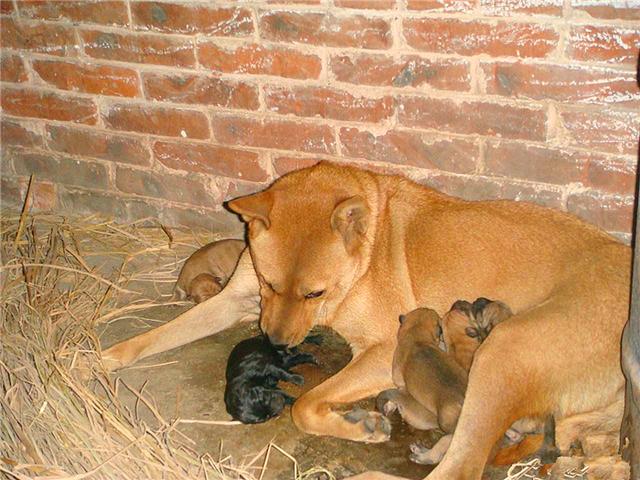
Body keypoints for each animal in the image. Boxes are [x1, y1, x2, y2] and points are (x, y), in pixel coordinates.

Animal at [101, 162, 632, 480]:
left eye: (315, 293)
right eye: (270, 284)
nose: (273, 342)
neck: (365, 249)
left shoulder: (381, 351)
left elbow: (304, 405)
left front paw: (359, 427)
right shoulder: (237, 300)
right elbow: (156, 336)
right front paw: (100, 358)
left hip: (504, 353)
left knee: (461, 466)